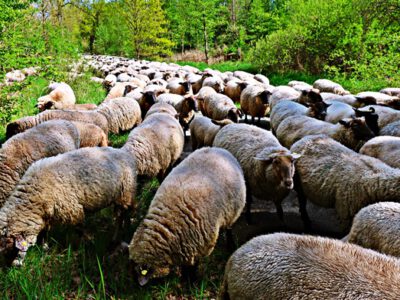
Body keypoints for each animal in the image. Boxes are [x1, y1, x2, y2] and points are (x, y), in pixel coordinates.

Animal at [0, 146, 138, 266]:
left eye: (10, 248)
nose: (14, 267)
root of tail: (126, 154)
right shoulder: (47, 214)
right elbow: (45, 232)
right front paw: (45, 247)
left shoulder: (72, 209)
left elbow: (79, 228)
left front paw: (86, 242)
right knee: (124, 214)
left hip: (125, 194)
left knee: (122, 216)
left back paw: (118, 236)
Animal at [128, 148, 247, 286]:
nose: (135, 287)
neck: (169, 222)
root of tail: (218, 149)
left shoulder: (200, 247)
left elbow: (192, 267)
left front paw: (191, 283)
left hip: (233, 212)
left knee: (229, 229)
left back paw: (230, 245)